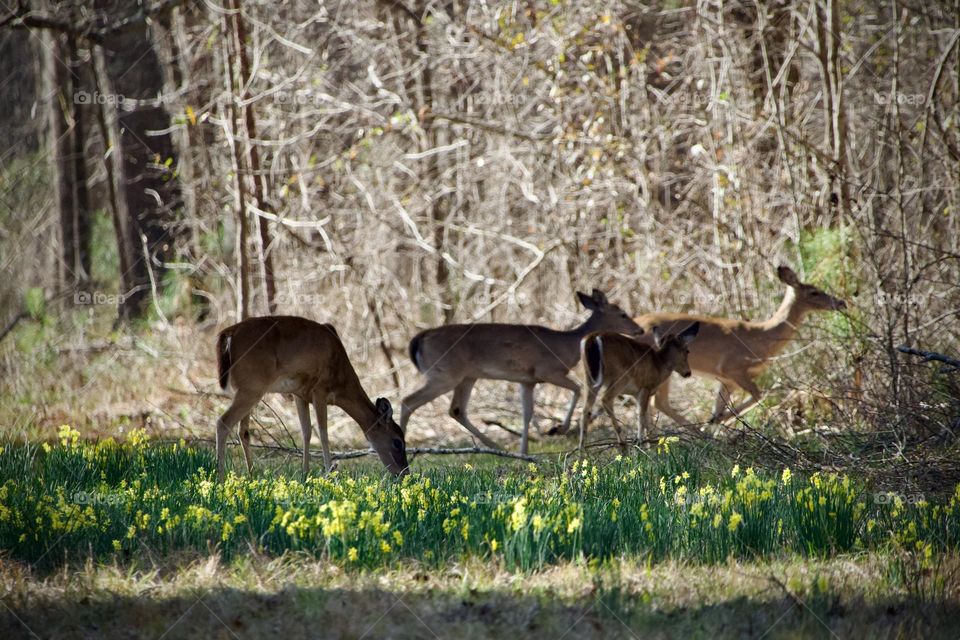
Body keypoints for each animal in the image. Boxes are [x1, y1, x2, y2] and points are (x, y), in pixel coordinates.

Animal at [214, 316, 408, 480]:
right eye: (398, 442)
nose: (404, 473)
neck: (341, 381)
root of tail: (228, 334)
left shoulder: (300, 394)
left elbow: (306, 432)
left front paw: (305, 475)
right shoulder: (320, 390)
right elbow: (323, 434)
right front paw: (330, 474)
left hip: (249, 389)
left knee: (243, 431)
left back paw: (251, 476)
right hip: (252, 386)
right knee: (223, 422)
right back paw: (221, 479)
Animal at [402, 290, 640, 456]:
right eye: (622, 314)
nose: (640, 329)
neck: (566, 346)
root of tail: (418, 340)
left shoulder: (527, 380)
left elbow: (527, 413)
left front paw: (523, 451)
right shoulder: (547, 370)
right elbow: (577, 388)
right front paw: (557, 429)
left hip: (467, 376)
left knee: (456, 409)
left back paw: (496, 447)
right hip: (444, 373)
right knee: (408, 401)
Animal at [572, 322, 700, 448]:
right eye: (687, 351)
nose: (688, 373)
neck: (659, 365)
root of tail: (593, 338)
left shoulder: (637, 393)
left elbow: (647, 419)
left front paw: (649, 445)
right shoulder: (645, 387)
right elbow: (641, 416)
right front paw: (641, 442)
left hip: (588, 378)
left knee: (585, 410)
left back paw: (582, 449)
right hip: (620, 376)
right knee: (605, 399)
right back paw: (622, 443)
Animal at [636, 264, 848, 424]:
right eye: (814, 292)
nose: (841, 302)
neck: (762, 337)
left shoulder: (727, 380)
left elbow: (719, 406)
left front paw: (715, 422)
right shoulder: (733, 367)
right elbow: (758, 395)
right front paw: (716, 422)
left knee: (652, 402)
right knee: (657, 402)